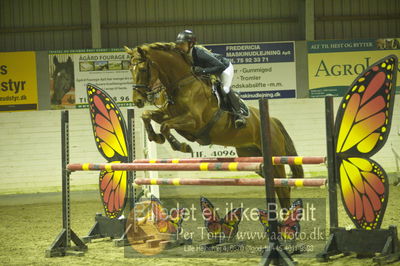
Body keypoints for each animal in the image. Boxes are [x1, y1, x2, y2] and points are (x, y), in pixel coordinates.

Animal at [125, 42, 304, 209]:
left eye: (142, 69)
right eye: (130, 70)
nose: (137, 101)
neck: (182, 84)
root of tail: (273, 121)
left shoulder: (194, 121)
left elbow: (165, 126)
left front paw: (180, 145)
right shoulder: (168, 114)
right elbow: (147, 115)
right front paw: (155, 137)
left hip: (275, 156)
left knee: (283, 187)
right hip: (252, 155)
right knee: (274, 182)